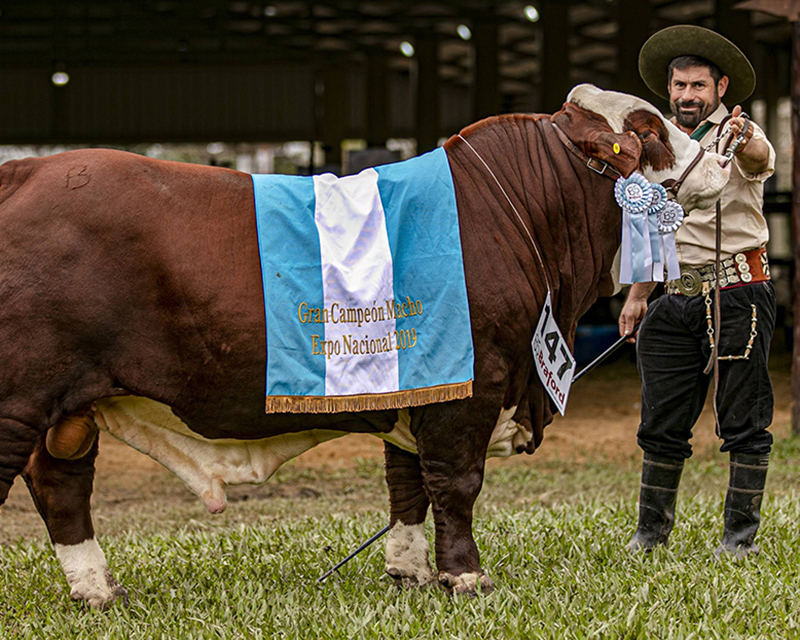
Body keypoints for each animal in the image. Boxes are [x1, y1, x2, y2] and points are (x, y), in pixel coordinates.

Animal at [0, 85, 728, 604]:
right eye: (649, 128)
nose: (723, 157)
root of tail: (29, 170)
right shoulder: (472, 386)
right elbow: (456, 483)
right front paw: (466, 577)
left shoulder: (423, 379)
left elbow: (408, 482)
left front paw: (409, 571)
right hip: (20, 397)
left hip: (69, 407)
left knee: (61, 482)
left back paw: (98, 590)